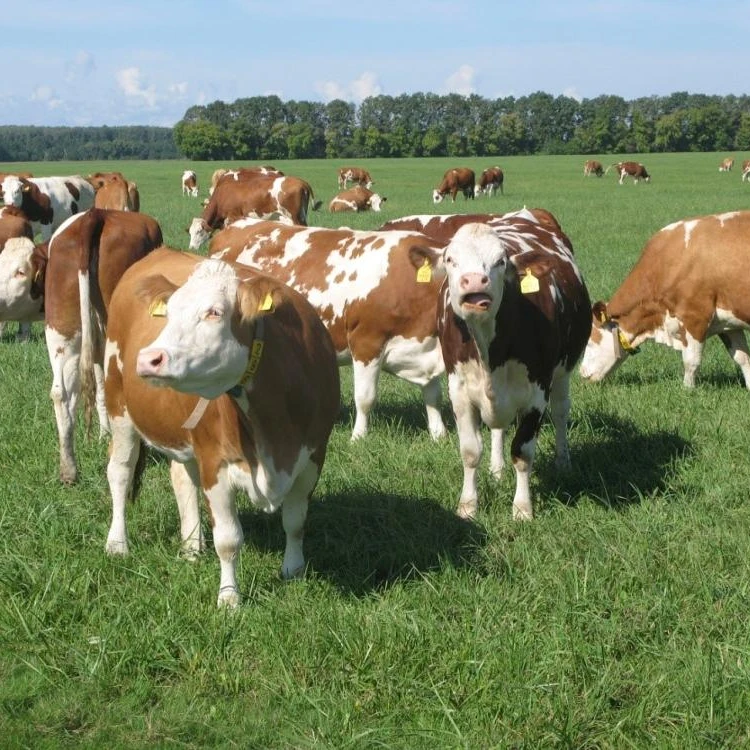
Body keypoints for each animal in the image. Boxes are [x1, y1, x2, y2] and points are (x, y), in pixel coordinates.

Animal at [103, 248, 340, 607]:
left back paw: (191, 546)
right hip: (118, 405)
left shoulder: (313, 456)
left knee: (181, 478)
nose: (149, 359)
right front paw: (229, 598)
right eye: (168, 313)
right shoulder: (216, 462)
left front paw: (293, 570)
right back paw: (118, 543)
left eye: (214, 312)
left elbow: (295, 521)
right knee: (120, 472)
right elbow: (228, 540)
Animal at [188, 175, 321, 249]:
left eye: (199, 232)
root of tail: (301, 181)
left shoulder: (233, 217)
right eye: (190, 232)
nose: (191, 248)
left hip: (295, 217)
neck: (223, 196)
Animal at [208, 218, 448, 441]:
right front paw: (358, 437)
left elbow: (433, 395)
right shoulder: (366, 342)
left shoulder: (426, 347)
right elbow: (365, 398)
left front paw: (438, 435)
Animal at [437, 212, 591, 520]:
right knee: (499, 428)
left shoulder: (537, 394)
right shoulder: (459, 391)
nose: (475, 281)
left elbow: (522, 452)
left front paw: (522, 509)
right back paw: (496, 470)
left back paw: (563, 462)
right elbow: (470, 451)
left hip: (563, 372)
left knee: (560, 412)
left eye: (500, 261)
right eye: (450, 259)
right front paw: (468, 506)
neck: (489, 350)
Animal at [579, 211, 750, 391]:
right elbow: (742, 358)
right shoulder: (728, 323)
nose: (581, 372)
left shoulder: (695, 317)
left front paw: (687, 390)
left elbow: (691, 362)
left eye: (589, 342)